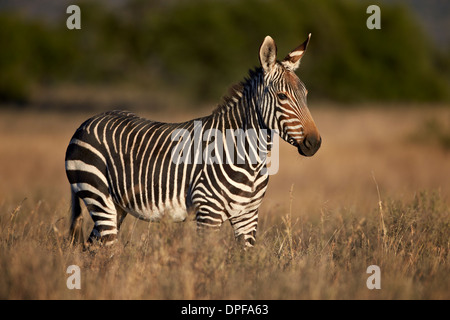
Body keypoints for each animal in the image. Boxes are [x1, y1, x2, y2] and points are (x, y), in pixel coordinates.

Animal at [65, 34, 322, 248]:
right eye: (282, 96)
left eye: (306, 95)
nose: (315, 143)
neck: (248, 158)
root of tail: (87, 122)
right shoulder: (208, 213)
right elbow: (206, 264)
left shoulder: (248, 215)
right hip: (98, 196)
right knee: (107, 250)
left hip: (116, 206)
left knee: (92, 248)